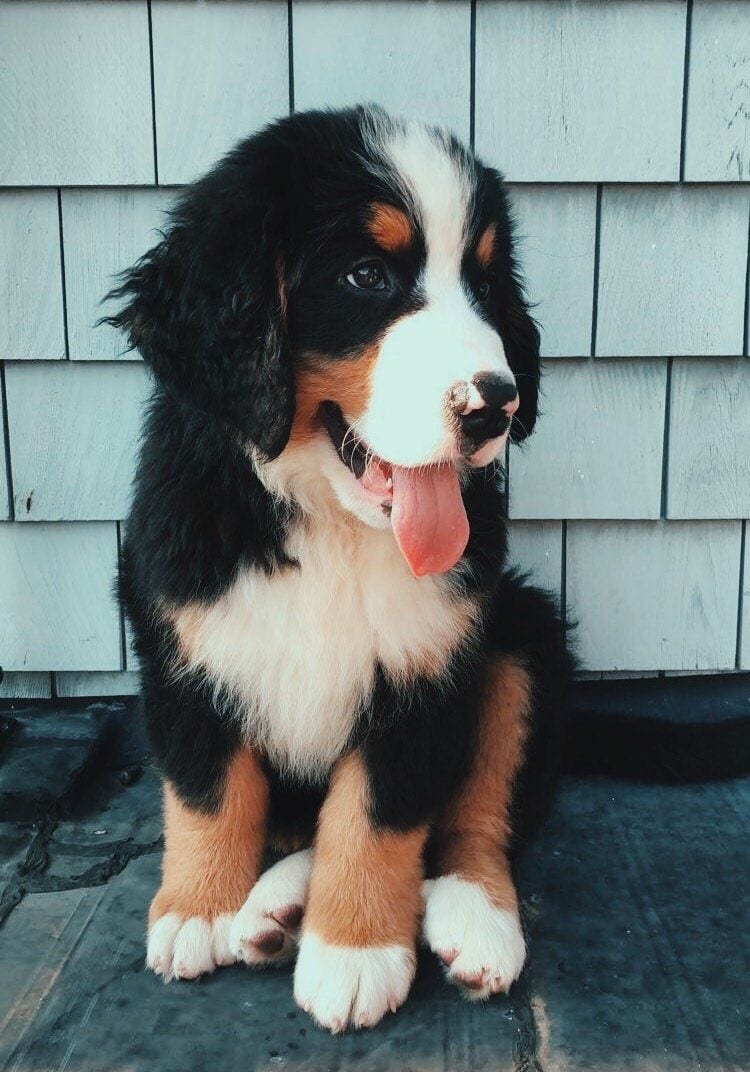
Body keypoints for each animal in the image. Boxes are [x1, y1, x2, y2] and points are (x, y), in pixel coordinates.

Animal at [109, 106, 570, 1029]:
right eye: (366, 275)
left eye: (485, 285)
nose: (496, 404)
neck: (330, 520)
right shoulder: (181, 638)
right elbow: (209, 791)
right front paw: (199, 909)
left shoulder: (428, 664)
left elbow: (378, 816)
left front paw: (354, 951)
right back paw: (274, 905)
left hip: (522, 636)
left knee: (480, 813)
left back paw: (472, 918)